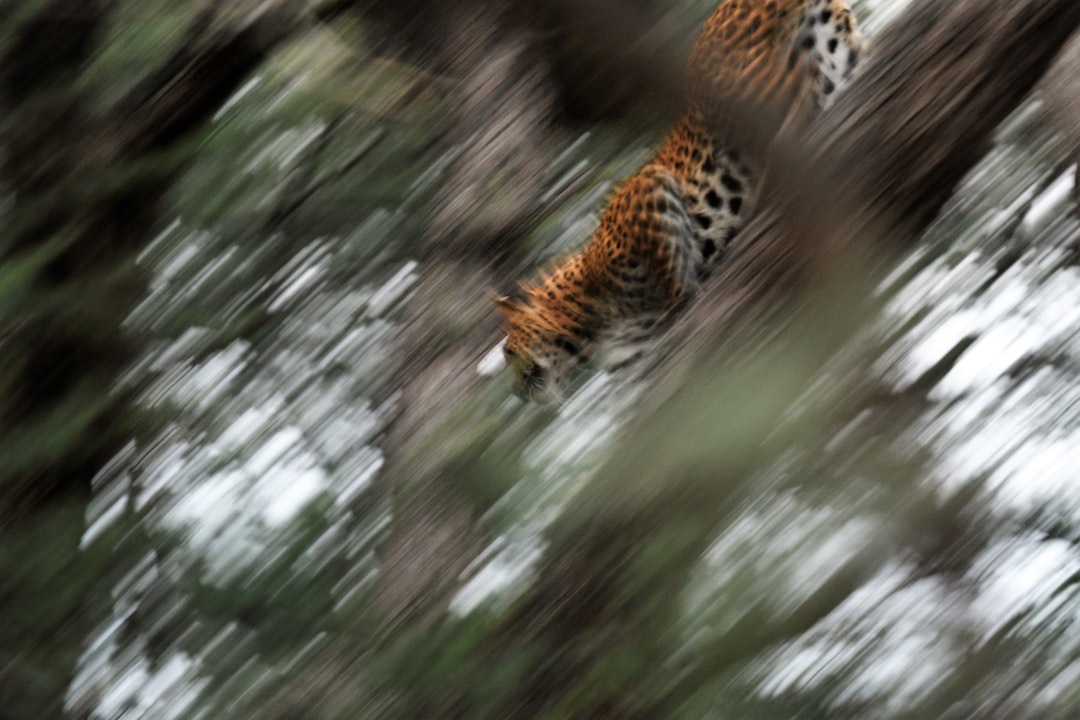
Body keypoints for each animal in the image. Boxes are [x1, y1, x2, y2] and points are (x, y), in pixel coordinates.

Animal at [498, 0, 868, 403]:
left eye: (510, 352)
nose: (516, 392)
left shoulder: (646, 193)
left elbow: (671, 266)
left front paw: (681, 296)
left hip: (745, 92)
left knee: (795, 105)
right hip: (836, 45)